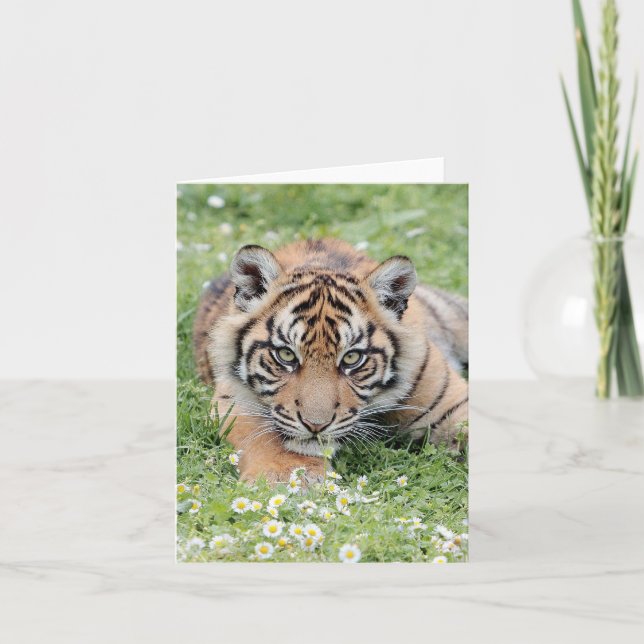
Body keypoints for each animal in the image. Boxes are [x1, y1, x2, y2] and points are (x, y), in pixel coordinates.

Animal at [193, 238, 468, 483]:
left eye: (352, 358)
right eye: (286, 355)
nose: (315, 425)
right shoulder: (234, 399)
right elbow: (263, 437)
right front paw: (289, 476)